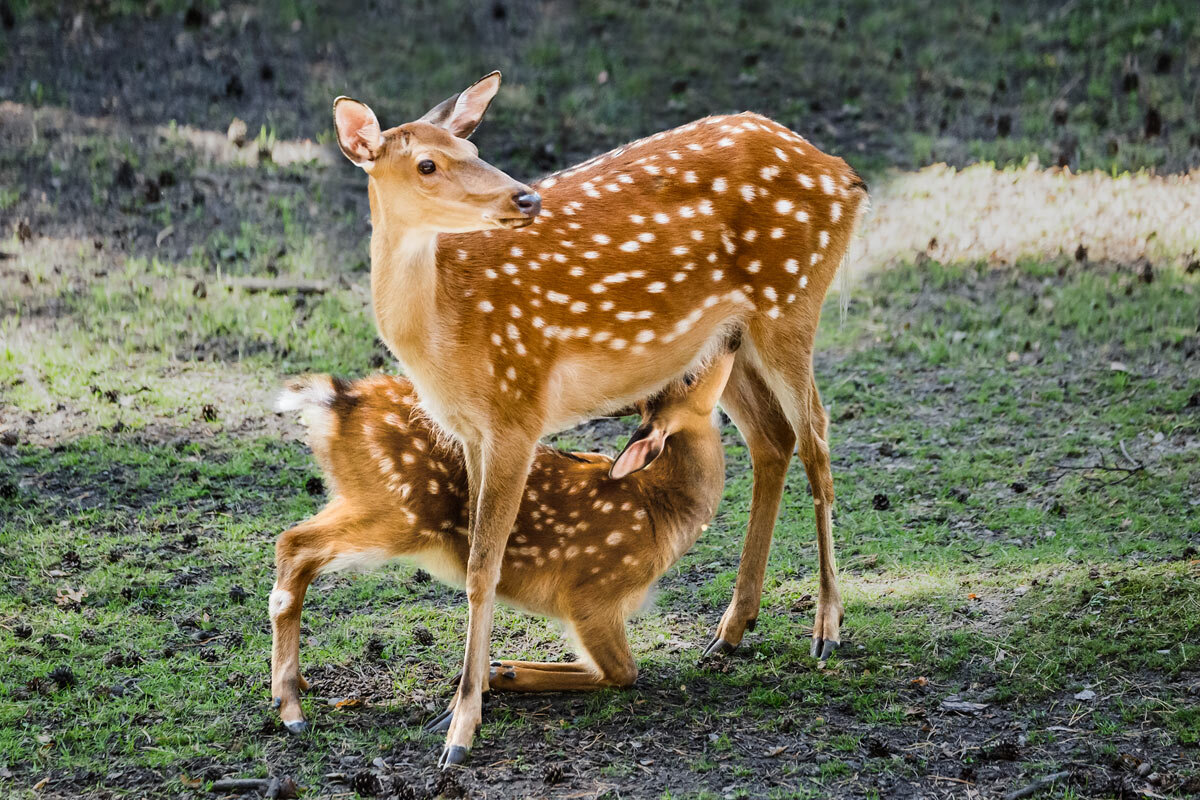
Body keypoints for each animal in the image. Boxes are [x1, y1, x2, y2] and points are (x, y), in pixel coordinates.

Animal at [272, 347, 734, 734]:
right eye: (690, 374)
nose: (731, 339)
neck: (659, 511)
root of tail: (338, 401)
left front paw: (498, 671)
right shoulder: (591, 594)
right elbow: (623, 672)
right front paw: (500, 673)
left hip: (362, 500)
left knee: (292, 543)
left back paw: (300, 686)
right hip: (396, 510)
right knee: (295, 545)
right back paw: (291, 709)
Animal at [333, 70, 868, 762]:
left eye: (473, 149)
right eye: (427, 163)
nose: (525, 197)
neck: (442, 339)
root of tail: (844, 175)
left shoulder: (518, 410)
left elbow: (483, 568)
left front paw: (461, 728)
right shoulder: (473, 430)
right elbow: (479, 555)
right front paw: (463, 702)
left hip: (793, 303)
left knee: (818, 441)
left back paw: (826, 626)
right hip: (728, 339)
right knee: (772, 439)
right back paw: (731, 629)